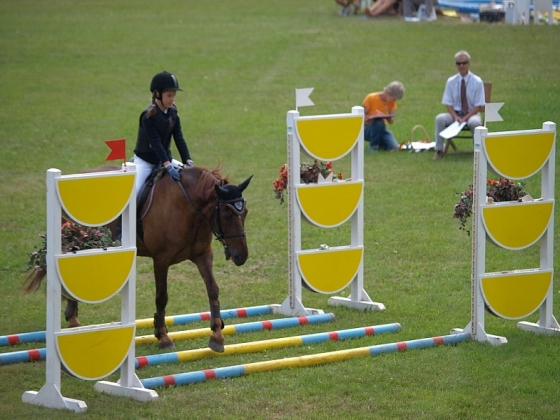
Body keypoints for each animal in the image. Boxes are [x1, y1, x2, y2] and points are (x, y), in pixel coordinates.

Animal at [31, 164, 252, 352]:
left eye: (245, 213)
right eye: (227, 214)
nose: (241, 256)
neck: (187, 208)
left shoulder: (202, 255)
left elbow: (213, 290)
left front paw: (217, 336)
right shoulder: (161, 259)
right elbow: (162, 297)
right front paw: (163, 337)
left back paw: (73, 318)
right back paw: (73, 319)